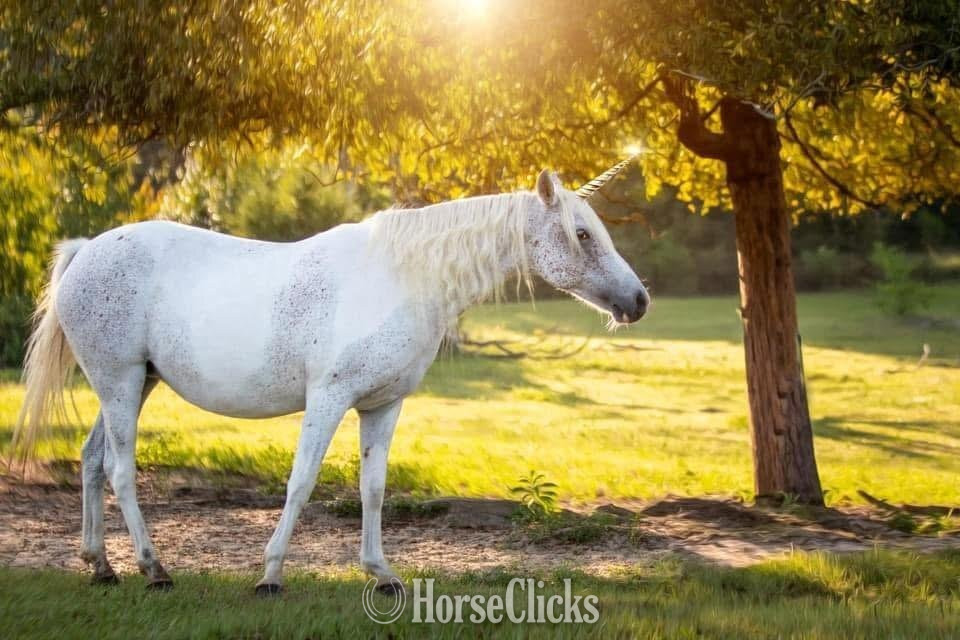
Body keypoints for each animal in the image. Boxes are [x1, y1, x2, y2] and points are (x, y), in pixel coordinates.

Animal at [14, 168, 648, 594]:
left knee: (91, 460)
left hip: (132, 384)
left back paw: (101, 566)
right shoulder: (329, 399)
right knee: (120, 470)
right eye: (583, 234)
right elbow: (301, 483)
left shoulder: (383, 406)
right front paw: (270, 576)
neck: (402, 279)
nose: (638, 301)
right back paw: (154, 569)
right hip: (119, 381)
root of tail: (87, 250)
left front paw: (382, 573)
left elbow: (373, 489)